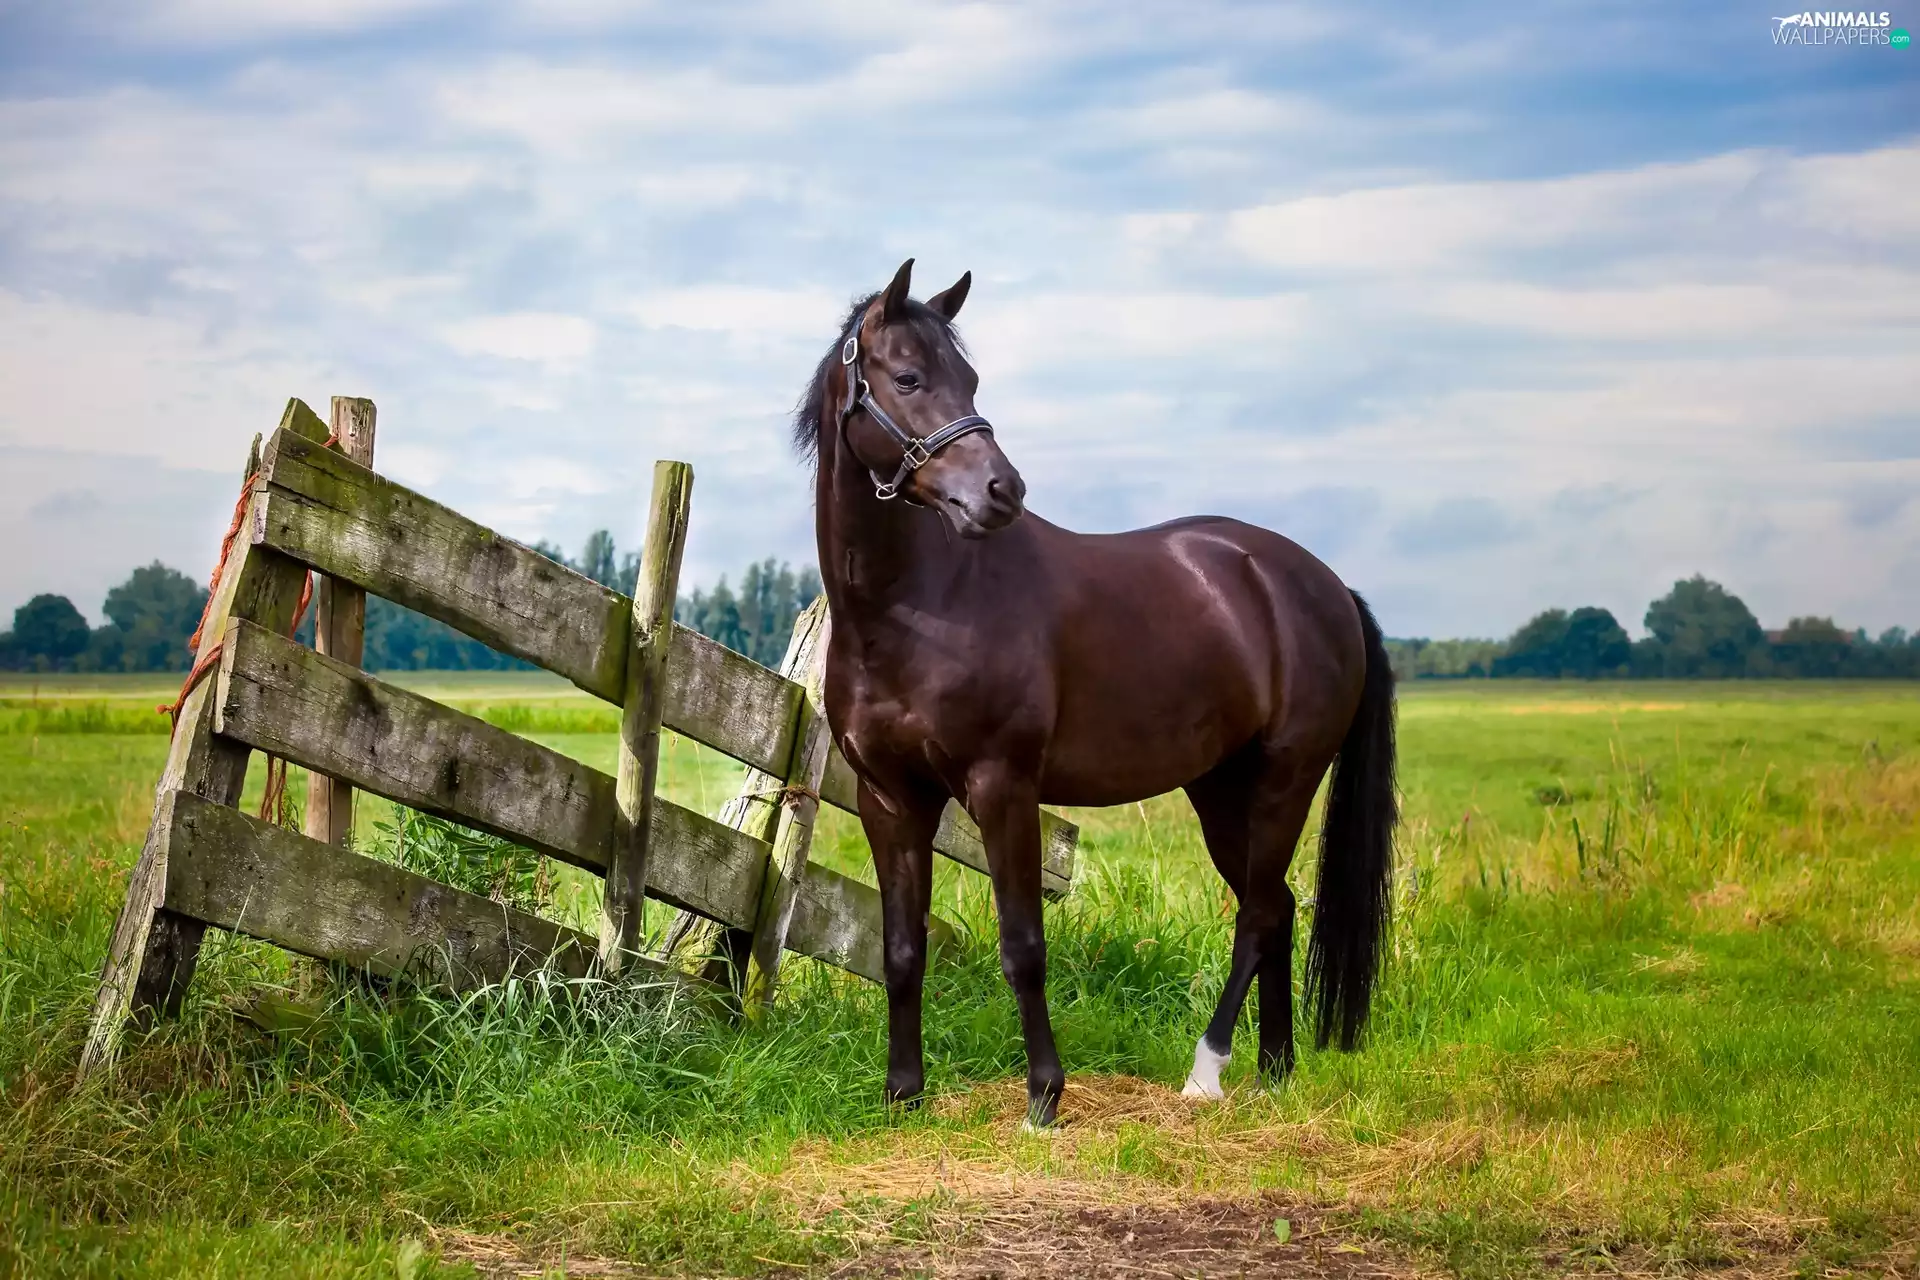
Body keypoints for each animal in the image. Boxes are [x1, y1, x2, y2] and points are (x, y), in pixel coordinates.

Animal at [795, 259, 1398, 1127]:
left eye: (969, 379)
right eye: (908, 378)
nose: (1002, 491)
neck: (913, 606)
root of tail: (1324, 586)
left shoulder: (1002, 787)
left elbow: (1023, 947)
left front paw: (1044, 1096)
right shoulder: (891, 799)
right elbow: (900, 950)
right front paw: (903, 1093)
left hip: (1286, 781)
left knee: (1257, 915)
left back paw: (1207, 1071)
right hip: (1222, 792)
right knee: (1277, 907)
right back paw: (1275, 1069)